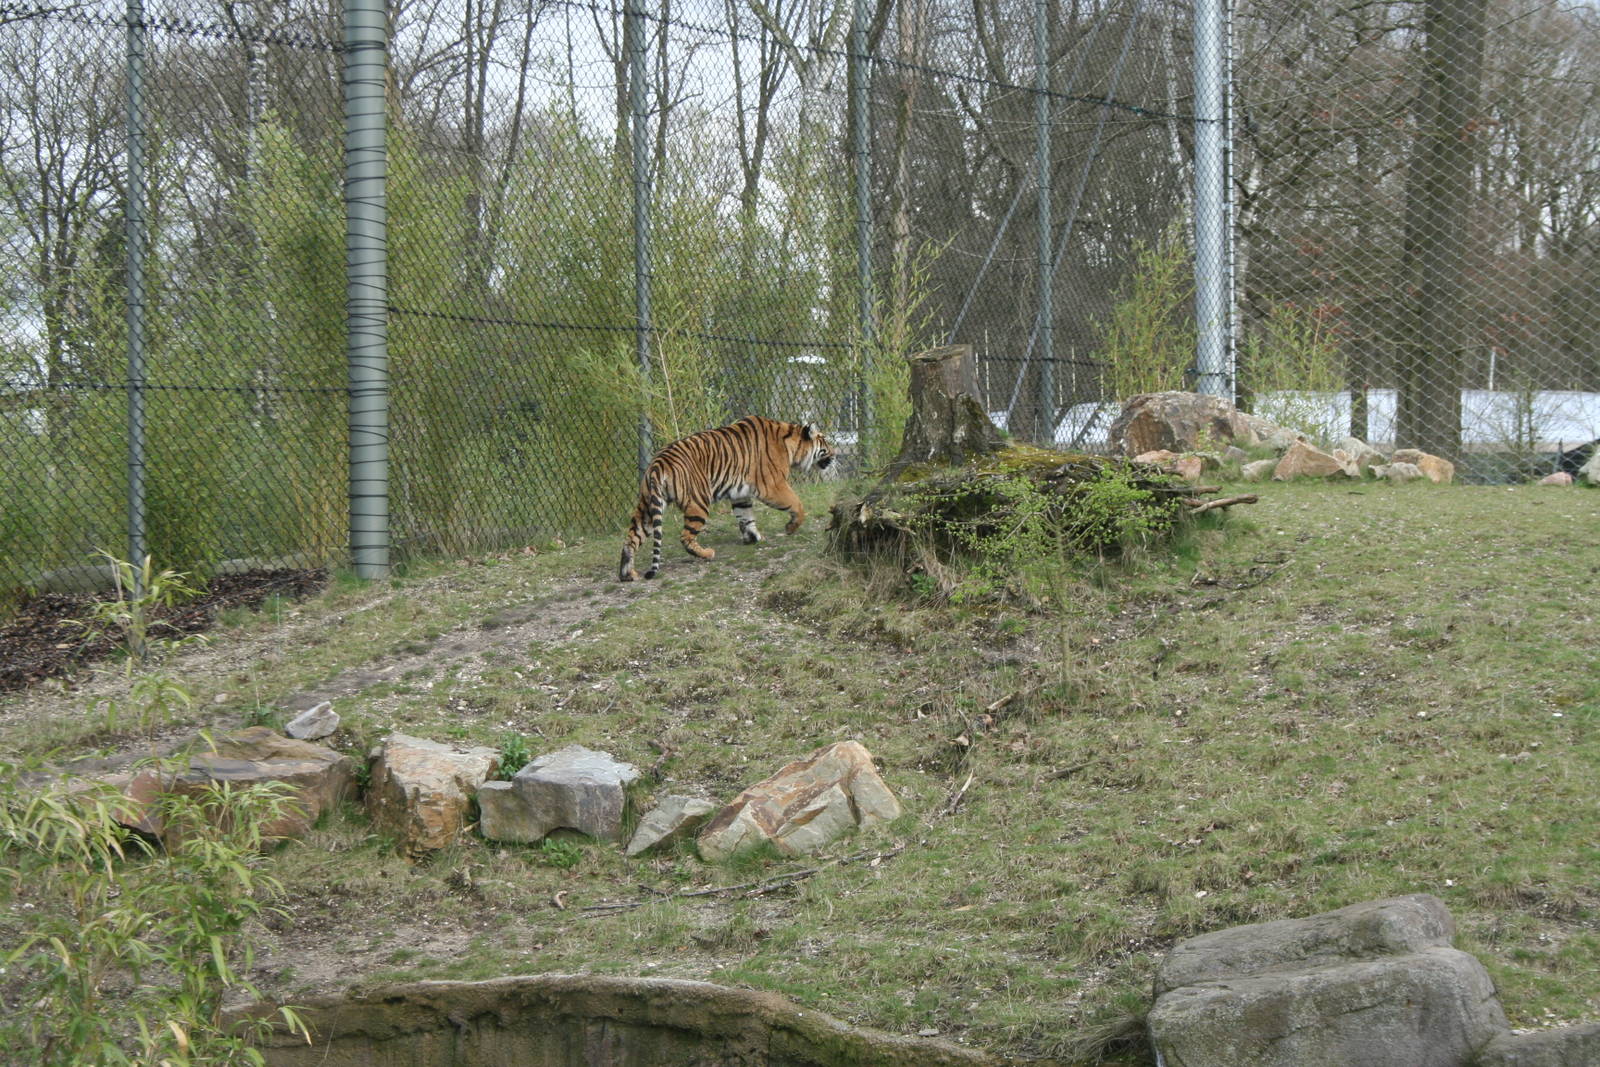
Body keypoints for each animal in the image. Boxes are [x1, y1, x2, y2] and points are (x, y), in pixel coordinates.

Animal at [619, 416, 834, 582]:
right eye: (825, 442)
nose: (835, 453)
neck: (791, 444)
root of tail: (658, 463)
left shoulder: (741, 493)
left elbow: (746, 517)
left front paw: (753, 537)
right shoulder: (773, 486)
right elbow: (797, 503)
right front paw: (790, 527)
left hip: (647, 507)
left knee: (631, 539)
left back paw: (627, 574)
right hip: (698, 502)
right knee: (686, 537)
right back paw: (707, 554)